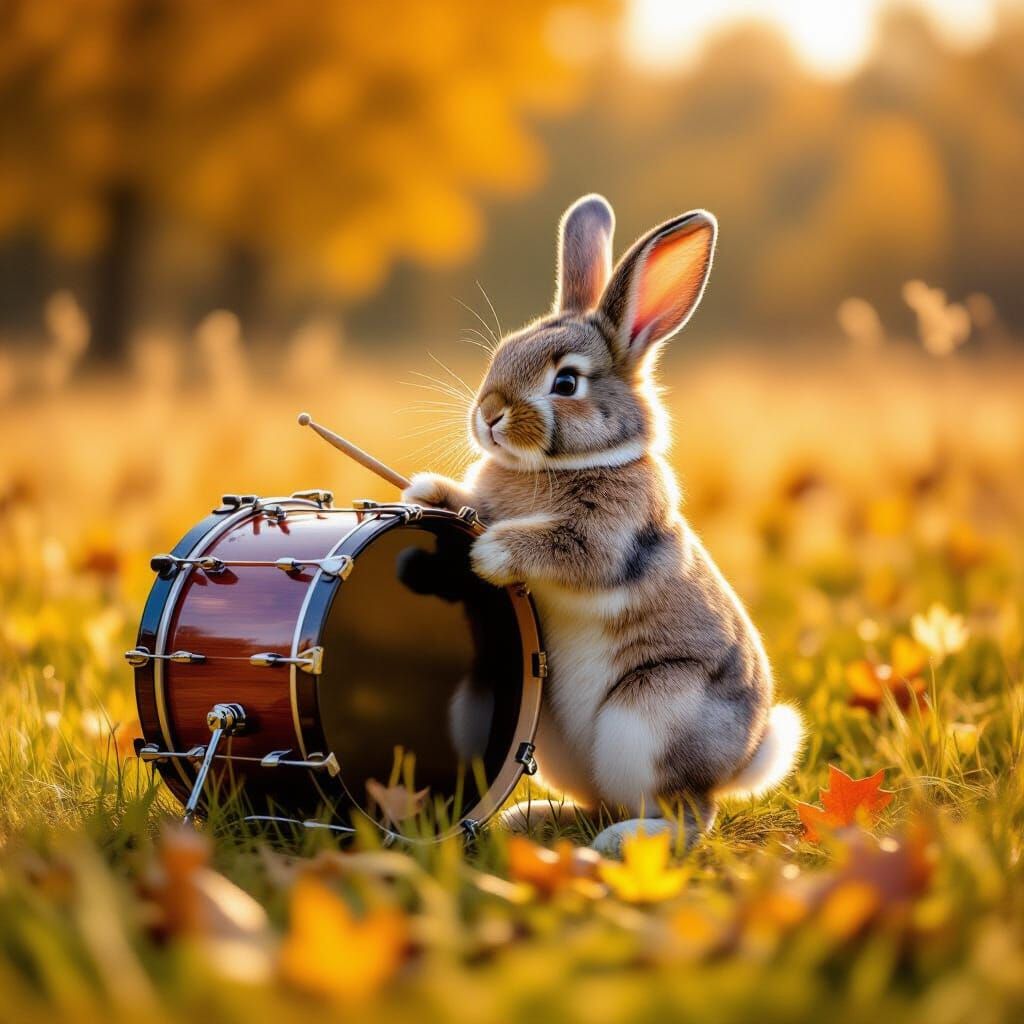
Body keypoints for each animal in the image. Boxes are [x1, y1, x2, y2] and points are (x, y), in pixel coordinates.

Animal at [402, 194, 804, 855]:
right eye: (502, 353)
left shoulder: (605, 541)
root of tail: (741, 762)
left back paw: (623, 842)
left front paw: (488, 555)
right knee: (596, 801)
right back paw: (529, 819)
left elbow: (561, 549)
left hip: (649, 717)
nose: (489, 414)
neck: (560, 465)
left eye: (565, 382)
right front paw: (424, 490)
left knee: (689, 816)